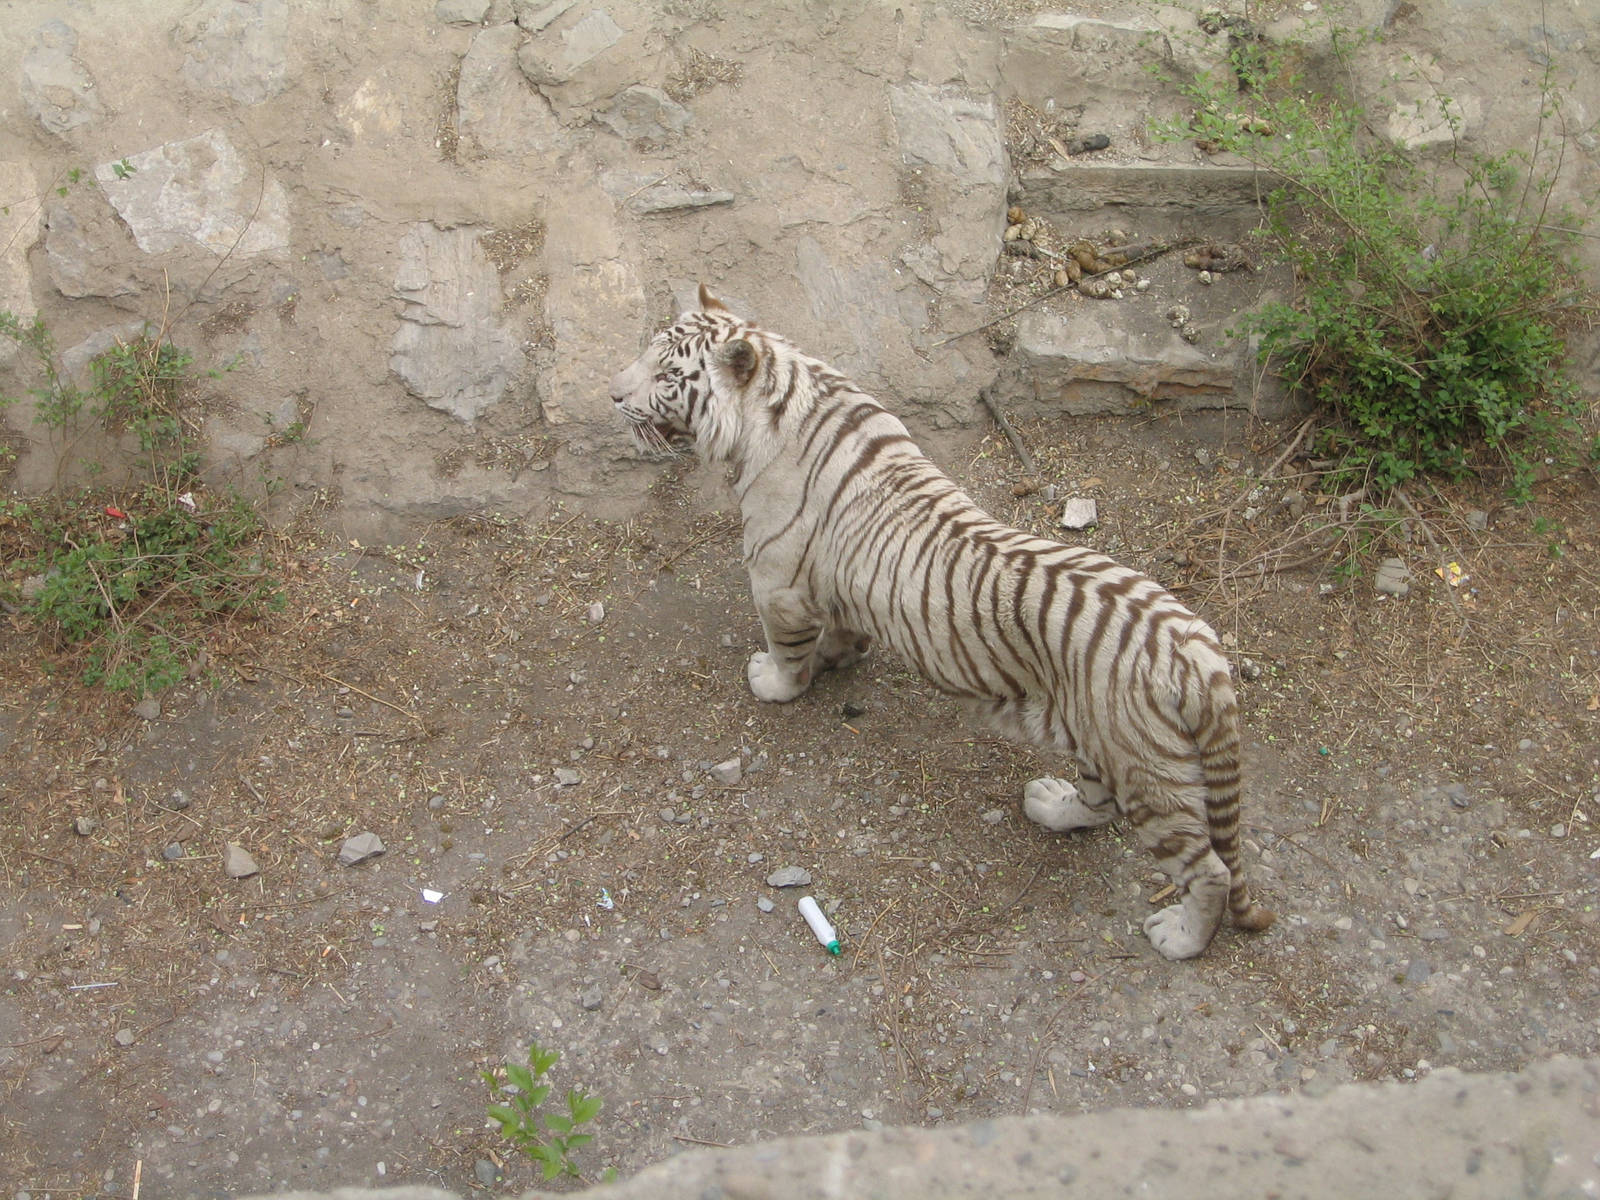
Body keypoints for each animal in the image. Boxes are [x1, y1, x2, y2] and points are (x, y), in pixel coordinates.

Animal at [609, 285, 1275, 959]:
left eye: (666, 375)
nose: (612, 394)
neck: (784, 395)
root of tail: (1195, 651)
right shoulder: (841, 586)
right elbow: (840, 633)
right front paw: (837, 658)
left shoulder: (777, 582)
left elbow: (789, 654)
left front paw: (771, 681)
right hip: (1100, 743)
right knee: (1100, 803)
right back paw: (1048, 804)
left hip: (1147, 770)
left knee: (1209, 869)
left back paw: (1180, 936)